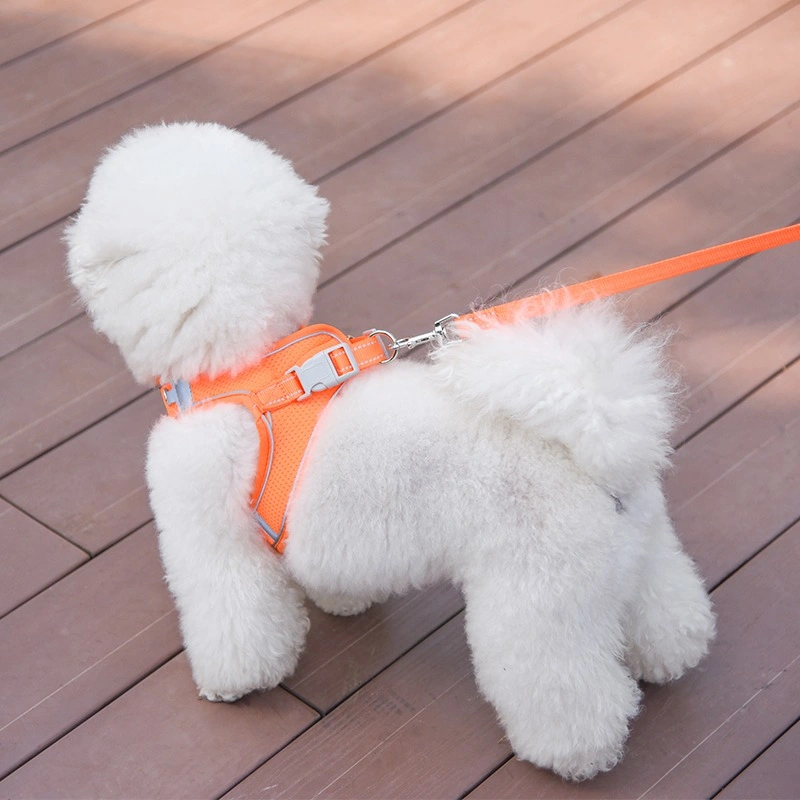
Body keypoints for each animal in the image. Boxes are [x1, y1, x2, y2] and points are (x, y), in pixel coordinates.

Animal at [65, 123, 716, 780]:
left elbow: (236, 619)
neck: (249, 372)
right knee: (668, 613)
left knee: (572, 691)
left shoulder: (214, 538)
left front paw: (234, 683)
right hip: (640, 551)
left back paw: (576, 755)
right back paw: (670, 658)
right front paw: (344, 606)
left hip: (539, 600)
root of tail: (598, 440)